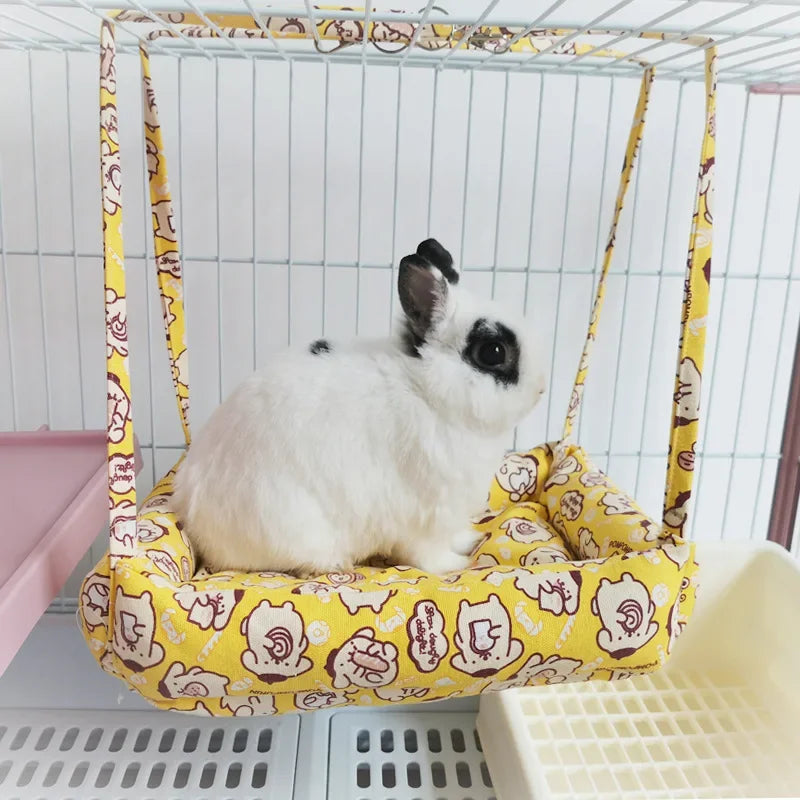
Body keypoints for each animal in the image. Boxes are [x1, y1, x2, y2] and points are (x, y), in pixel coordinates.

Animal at [173, 238, 546, 576]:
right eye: (493, 352)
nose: (541, 388)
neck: (427, 391)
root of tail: (195, 521)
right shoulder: (424, 516)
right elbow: (427, 555)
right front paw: (457, 565)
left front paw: (468, 541)